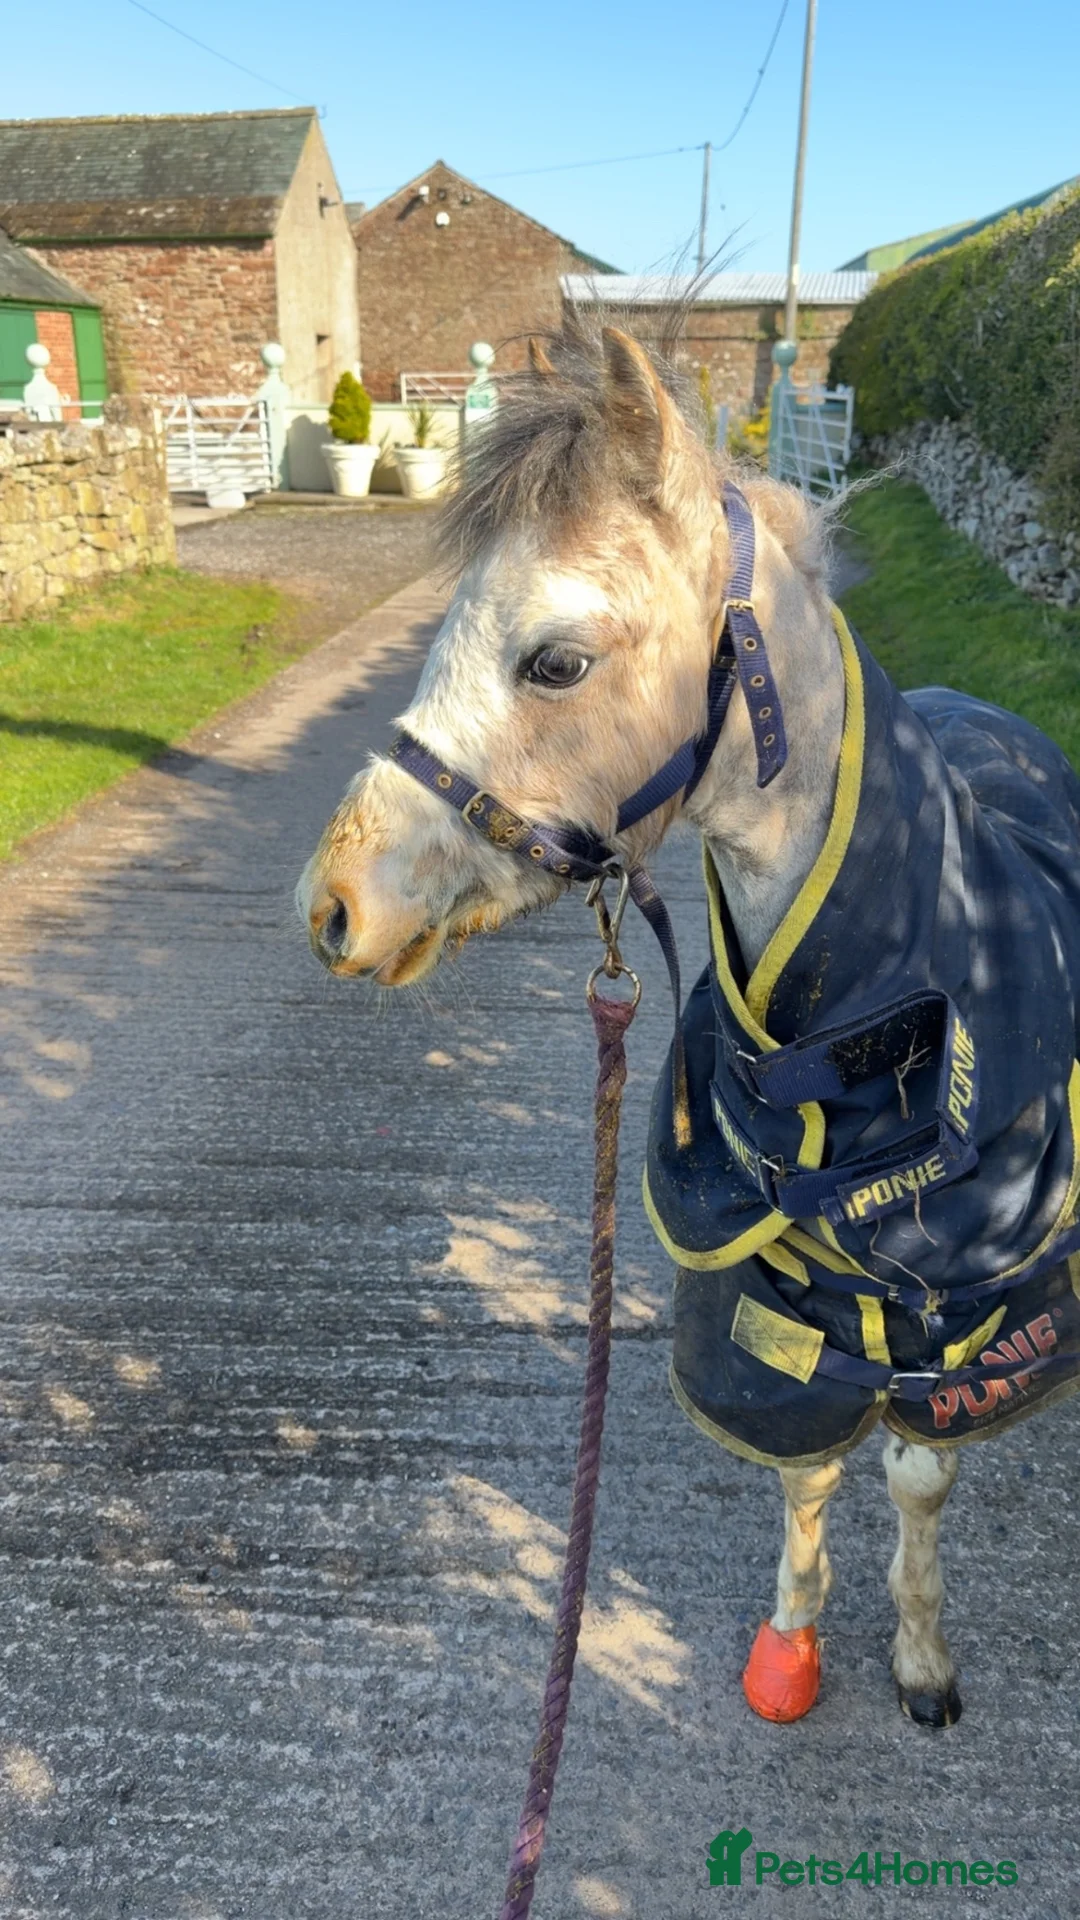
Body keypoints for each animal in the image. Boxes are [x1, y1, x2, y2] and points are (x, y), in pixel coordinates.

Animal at [297, 320, 1080, 1732]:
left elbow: (918, 1474)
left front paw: (921, 1662)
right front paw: (792, 1646)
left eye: (555, 659)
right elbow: (804, 1463)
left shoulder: (979, 1315)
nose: (331, 906)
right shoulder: (764, 1294)